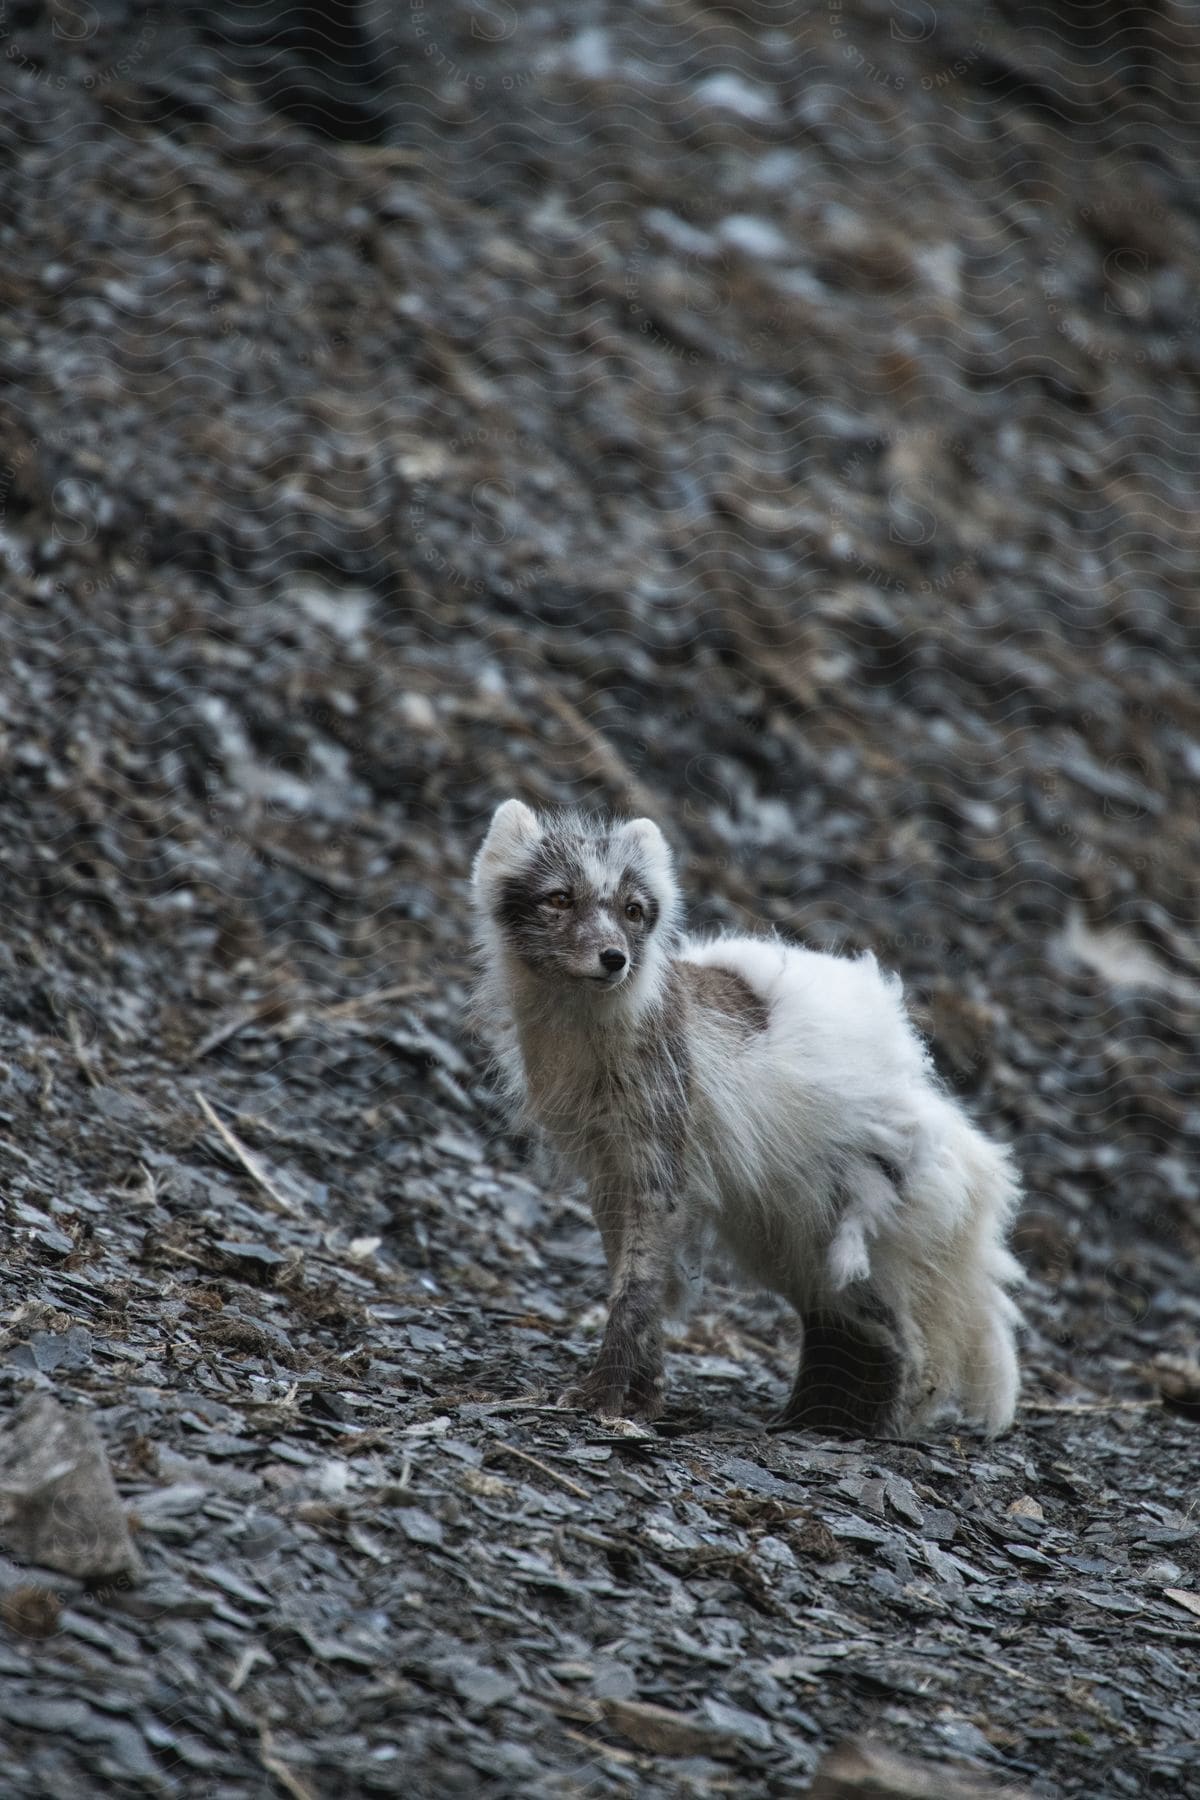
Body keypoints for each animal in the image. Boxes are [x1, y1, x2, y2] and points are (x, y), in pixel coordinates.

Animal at [467, 802, 1021, 1432]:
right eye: (560, 899)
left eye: (633, 911)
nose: (615, 959)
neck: (585, 1040)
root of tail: (912, 1072)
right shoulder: (610, 1171)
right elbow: (634, 1280)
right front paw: (645, 1397)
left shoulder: (659, 1162)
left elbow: (635, 1290)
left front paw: (604, 1397)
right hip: (788, 1235)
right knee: (856, 1321)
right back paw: (820, 1418)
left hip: (831, 1222)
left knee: (898, 1332)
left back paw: (861, 1427)